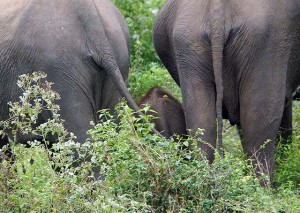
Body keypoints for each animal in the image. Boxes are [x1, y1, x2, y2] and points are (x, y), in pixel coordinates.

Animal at [152, 0, 300, 186]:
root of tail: (217, 10)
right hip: (266, 42)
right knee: (259, 124)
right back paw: (263, 189)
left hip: (187, 43)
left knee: (202, 124)